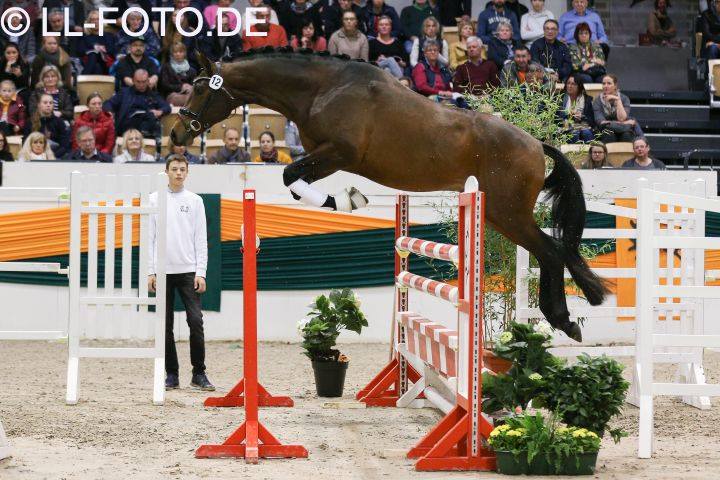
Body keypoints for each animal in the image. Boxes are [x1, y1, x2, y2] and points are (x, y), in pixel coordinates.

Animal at [170, 47, 608, 342]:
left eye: (198, 90)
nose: (176, 134)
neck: (322, 88)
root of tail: (536, 144)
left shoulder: (339, 153)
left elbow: (290, 175)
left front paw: (345, 201)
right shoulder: (325, 156)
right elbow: (294, 183)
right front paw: (345, 200)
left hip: (508, 212)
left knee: (553, 251)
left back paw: (563, 319)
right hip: (503, 215)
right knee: (550, 252)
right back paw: (561, 319)